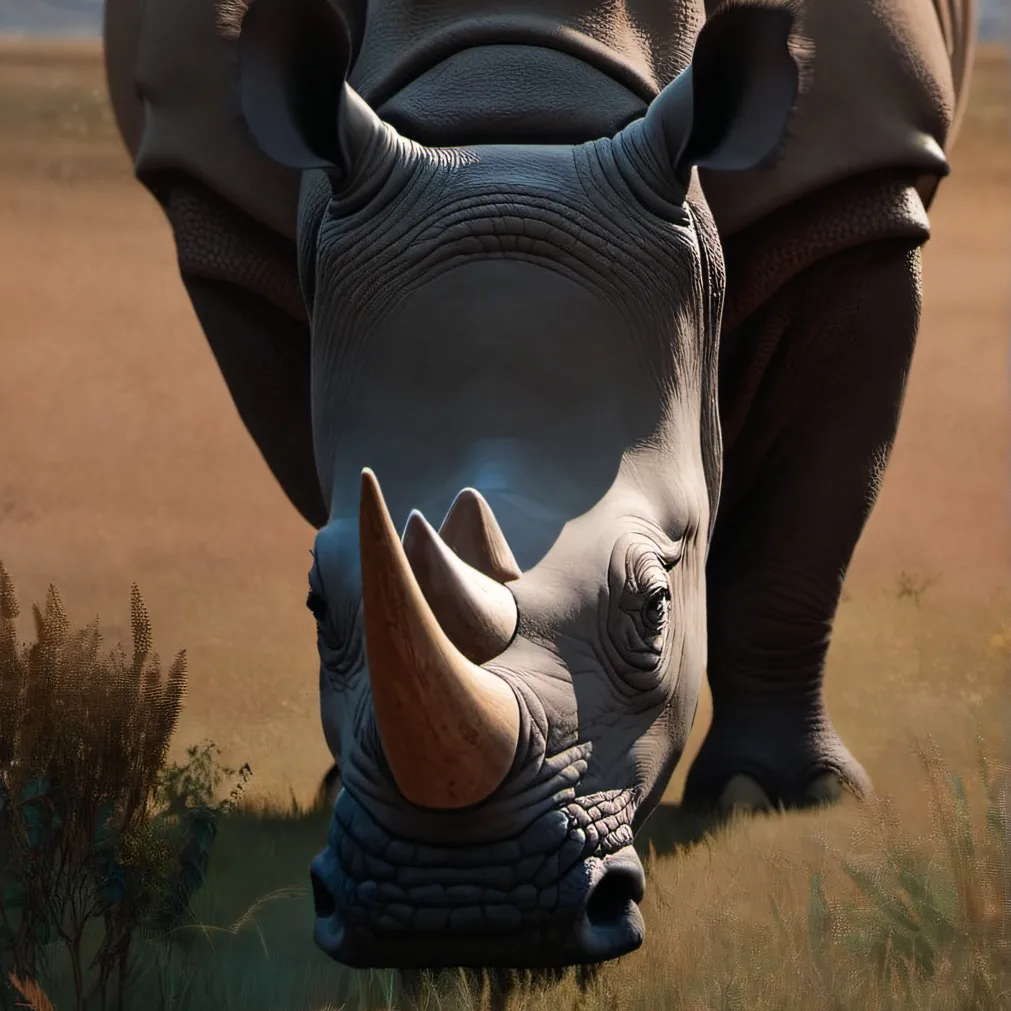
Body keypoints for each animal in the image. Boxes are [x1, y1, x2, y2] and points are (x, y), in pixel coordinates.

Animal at [102, 0, 974, 970]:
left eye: (656, 605)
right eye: (315, 604)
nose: (456, 905)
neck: (511, 118)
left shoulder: (855, 188)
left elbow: (800, 540)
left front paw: (774, 795)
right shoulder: (219, 213)